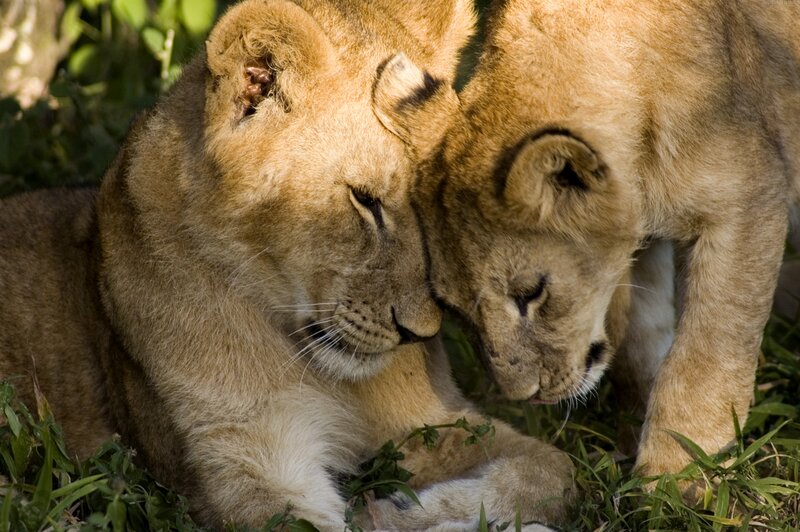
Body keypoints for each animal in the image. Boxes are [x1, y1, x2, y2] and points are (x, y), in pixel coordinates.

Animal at [0, 0, 574, 528]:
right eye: (365, 201)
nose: (420, 332)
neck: (318, 369)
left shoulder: (438, 420)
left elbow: (553, 471)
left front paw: (409, 511)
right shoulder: (238, 456)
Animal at [418, 0, 800, 478]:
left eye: (531, 293)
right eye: (454, 311)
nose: (526, 396)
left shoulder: (748, 200)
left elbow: (706, 354)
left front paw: (678, 473)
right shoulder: (636, 246)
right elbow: (636, 341)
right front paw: (635, 438)